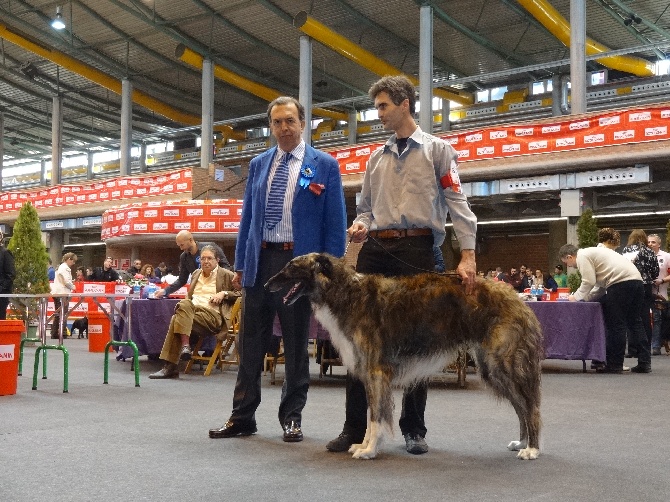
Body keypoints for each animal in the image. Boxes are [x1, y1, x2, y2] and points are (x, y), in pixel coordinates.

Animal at [266, 253, 544, 460]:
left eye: (292, 266)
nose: (267, 284)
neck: (346, 292)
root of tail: (519, 301)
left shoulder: (376, 370)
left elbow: (377, 416)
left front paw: (369, 450)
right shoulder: (370, 372)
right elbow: (372, 414)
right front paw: (362, 445)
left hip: (501, 364)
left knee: (530, 406)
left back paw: (532, 449)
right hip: (492, 367)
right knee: (522, 406)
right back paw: (522, 443)